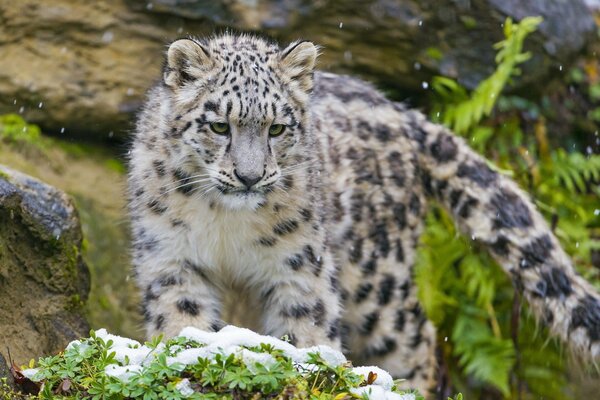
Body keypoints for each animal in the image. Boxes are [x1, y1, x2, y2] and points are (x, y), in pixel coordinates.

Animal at [127, 33, 600, 390]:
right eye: (219, 125)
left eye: (277, 128)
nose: (249, 176)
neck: (228, 224)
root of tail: (403, 112)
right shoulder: (172, 258)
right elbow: (181, 318)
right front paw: (186, 359)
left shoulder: (298, 266)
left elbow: (306, 328)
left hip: (379, 283)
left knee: (419, 342)